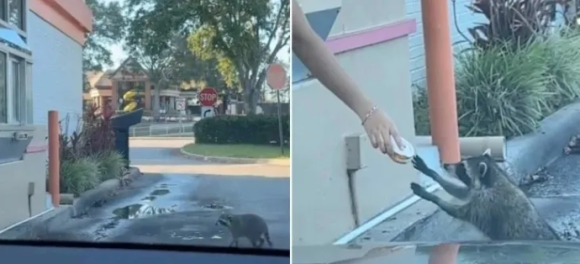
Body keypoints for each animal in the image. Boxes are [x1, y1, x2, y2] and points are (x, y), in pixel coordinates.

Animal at [408, 148, 560, 241]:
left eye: (462, 167)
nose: (445, 165)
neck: (493, 180)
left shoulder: (487, 204)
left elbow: (458, 212)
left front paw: (431, 196)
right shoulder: (477, 193)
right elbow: (463, 193)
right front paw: (431, 172)